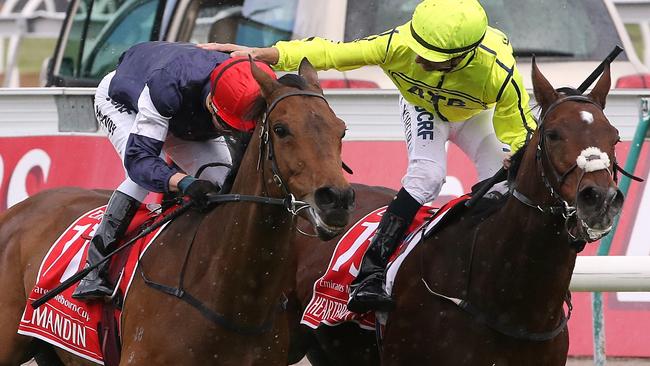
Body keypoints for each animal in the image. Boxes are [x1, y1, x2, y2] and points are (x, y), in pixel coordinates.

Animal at [0, 58, 354, 364]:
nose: (336, 199)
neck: (233, 296)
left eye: (341, 129)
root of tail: (17, 210)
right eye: (281, 129)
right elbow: (141, 156)